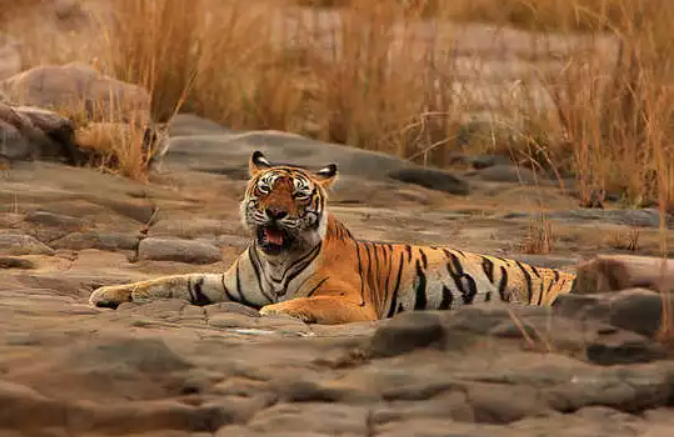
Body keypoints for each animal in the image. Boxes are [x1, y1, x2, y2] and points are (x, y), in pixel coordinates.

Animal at [86, 150, 576, 324]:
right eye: (266, 188)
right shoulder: (222, 283)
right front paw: (107, 293)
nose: (276, 213)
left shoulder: (353, 302)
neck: (276, 259)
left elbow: (298, 302)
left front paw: (275, 312)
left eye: (299, 194)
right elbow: (163, 282)